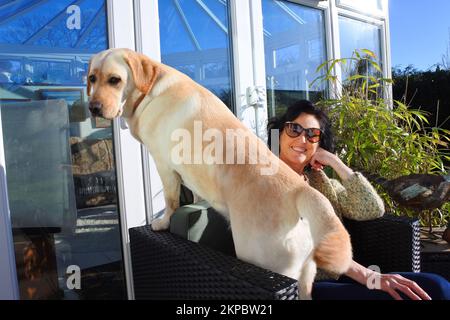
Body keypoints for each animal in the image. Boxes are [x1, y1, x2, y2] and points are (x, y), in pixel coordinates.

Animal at [87, 48, 352, 298]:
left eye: (115, 80)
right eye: (91, 78)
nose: (93, 107)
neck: (150, 91)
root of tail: (300, 190)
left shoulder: (164, 164)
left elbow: (171, 201)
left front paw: (162, 223)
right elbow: (193, 195)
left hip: (263, 258)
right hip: (306, 276)